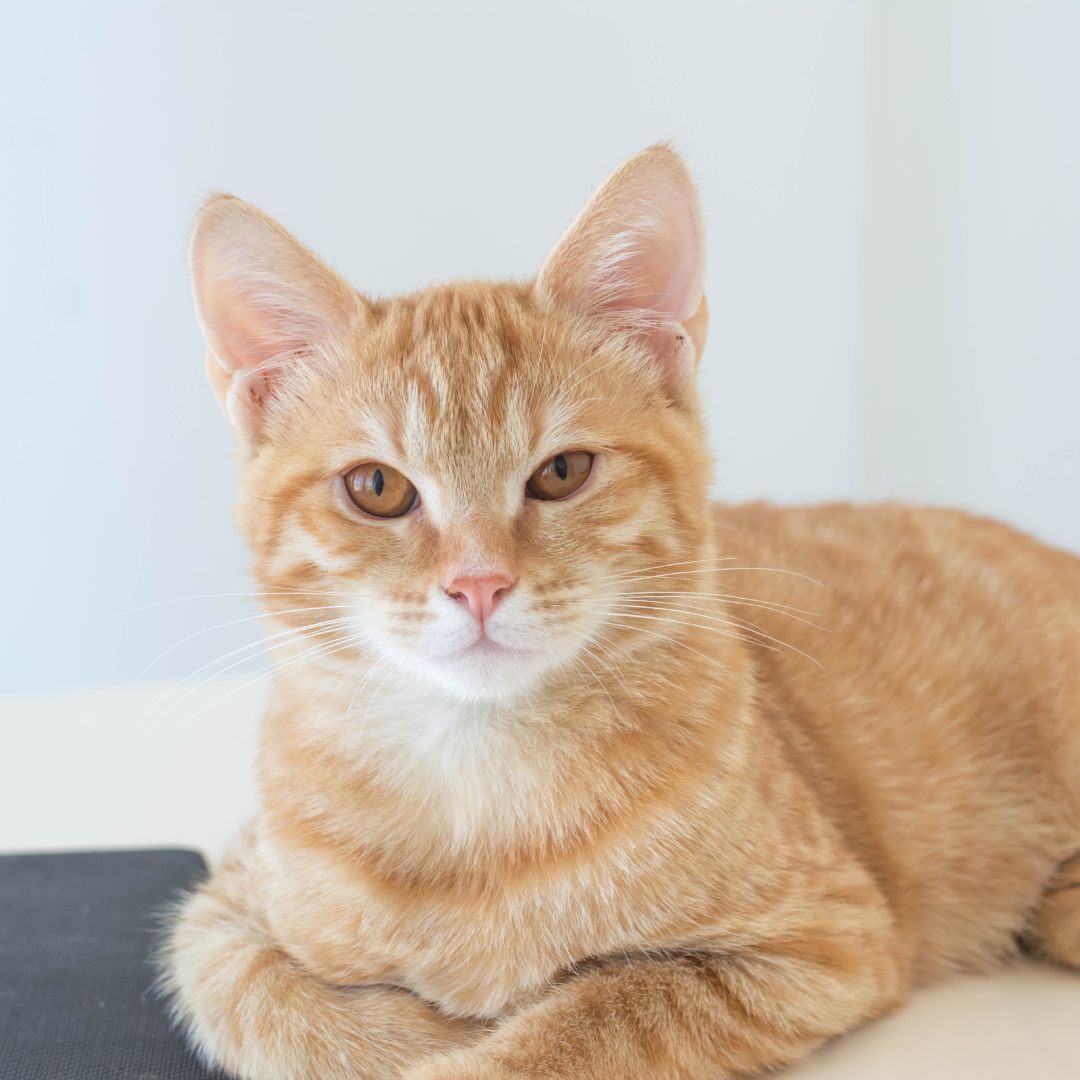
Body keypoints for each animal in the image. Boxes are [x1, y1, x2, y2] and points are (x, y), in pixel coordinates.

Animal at [162, 145, 1080, 1080]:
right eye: (376, 487)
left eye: (562, 472)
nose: (479, 584)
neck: (476, 782)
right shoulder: (219, 912)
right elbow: (265, 998)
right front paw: (429, 1025)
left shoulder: (823, 941)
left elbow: (594, 1010)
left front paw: (483, 1035)